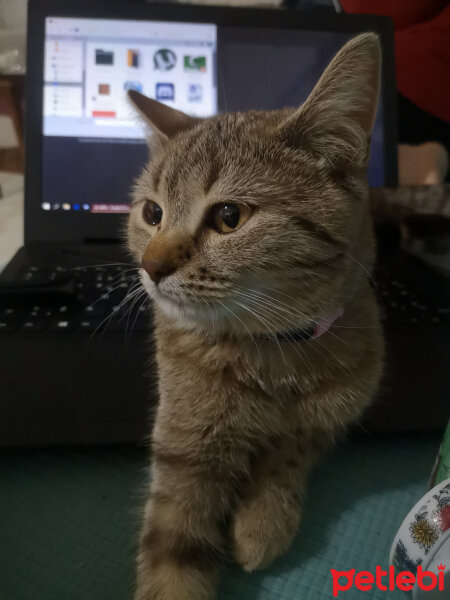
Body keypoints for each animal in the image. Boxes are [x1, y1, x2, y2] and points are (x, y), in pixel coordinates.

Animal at [125, 32, 384, 600]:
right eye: (152, 213)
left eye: (229, 217)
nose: (150, 267)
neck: (273, 353)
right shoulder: (182, 449)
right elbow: (173, 553)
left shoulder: (348, 400)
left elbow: (296, 444)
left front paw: (264, 518)